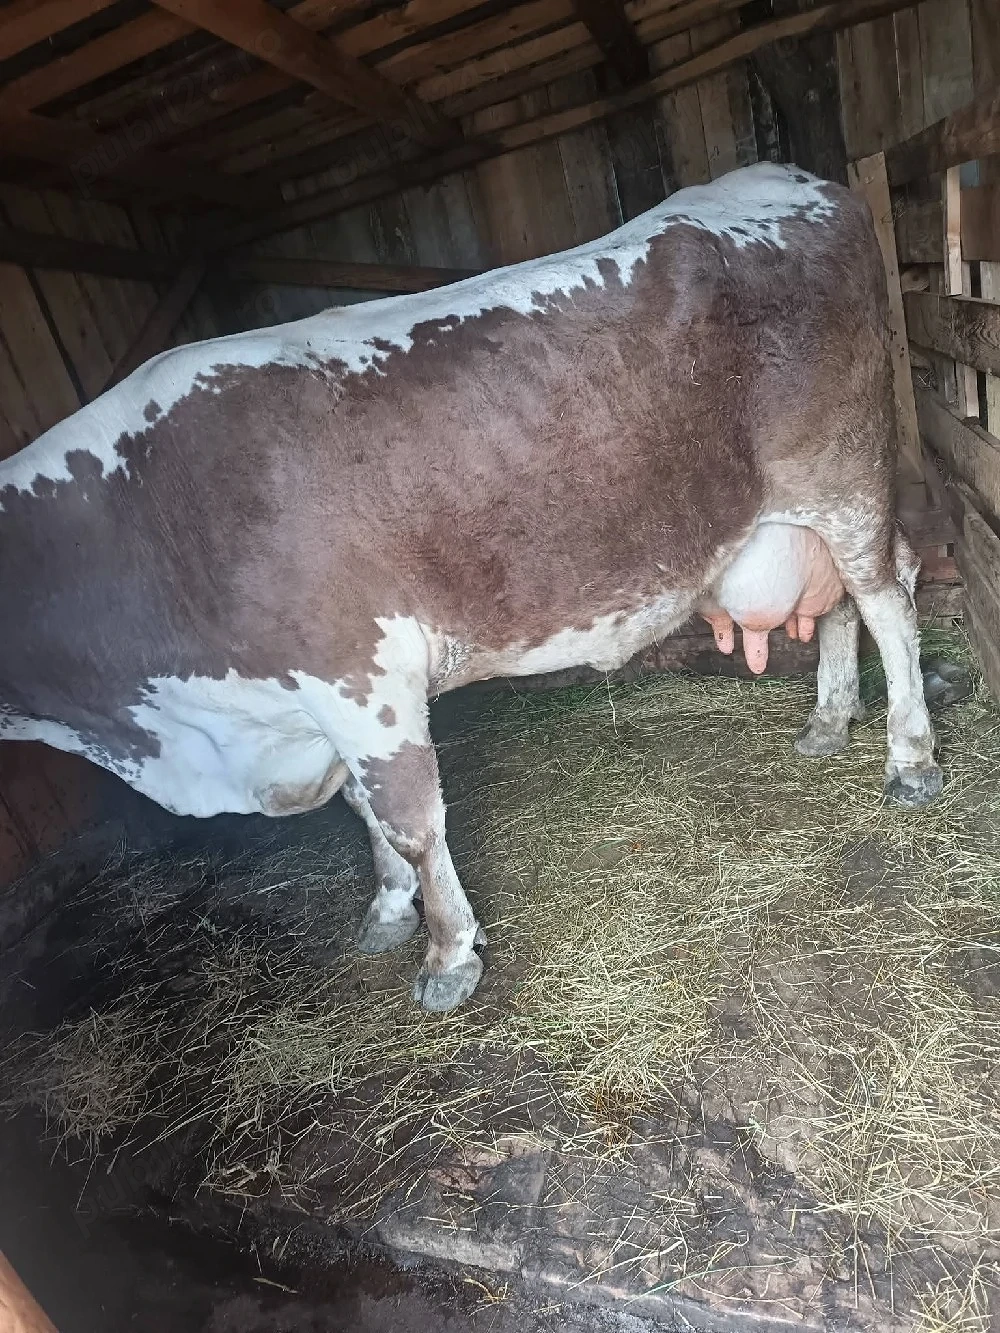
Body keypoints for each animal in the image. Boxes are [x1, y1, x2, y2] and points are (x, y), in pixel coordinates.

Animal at [0, 163, 942, 1011]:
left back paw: (910, 756)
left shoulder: (359, 671)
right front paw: (389, 910)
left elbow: (411, 822)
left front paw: (448, 952)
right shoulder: (317, 704)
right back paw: (829, 721)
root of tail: (800, 180)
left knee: (888, 596)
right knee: (839, 603)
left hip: (844, 475)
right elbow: (364, 814)